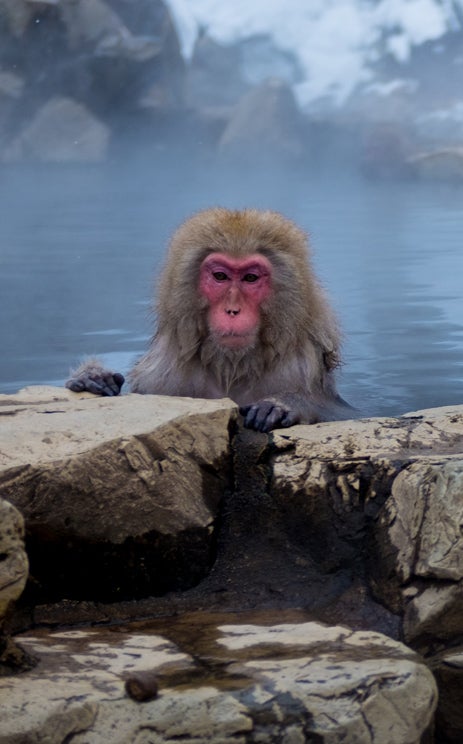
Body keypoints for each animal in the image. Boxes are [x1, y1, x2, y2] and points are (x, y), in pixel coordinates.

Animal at [66, 208, 351, 432]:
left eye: (250, 278)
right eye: (220, 276)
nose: (232, 310)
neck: (232, 367)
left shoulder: (302, 368)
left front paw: (283, 405)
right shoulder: (162, 378)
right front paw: (93, 377)